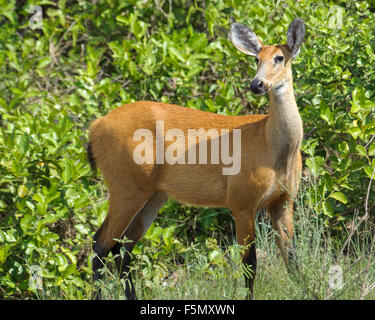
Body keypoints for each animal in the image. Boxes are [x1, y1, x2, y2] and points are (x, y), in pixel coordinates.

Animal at [88, 18, 306, 300]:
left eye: (280, 57)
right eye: (257, 59)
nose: (256, 84)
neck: (274, 150)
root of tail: (94, 129)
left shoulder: (284, 201)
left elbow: (293, 259)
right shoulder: (241, 200)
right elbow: (250, 265)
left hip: (153, 195)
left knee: (121, 249)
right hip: (125, 185)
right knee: (100, 245)